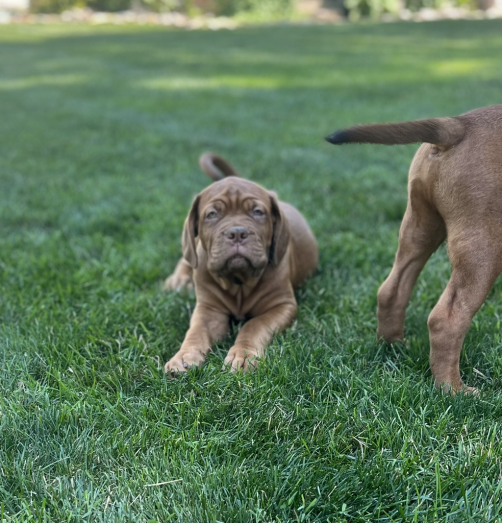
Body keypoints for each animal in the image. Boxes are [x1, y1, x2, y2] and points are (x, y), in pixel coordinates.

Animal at [164, 154, 318, 374]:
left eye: (258, 212)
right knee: (187, 255)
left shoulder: (282, 305)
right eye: (212, 214)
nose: (237, 232)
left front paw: (243, 355)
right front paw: (183, 356)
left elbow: (253, 325)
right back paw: (178, 280)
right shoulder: (209, 309)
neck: (238, 280)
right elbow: (196, 331)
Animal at [326, 105, 502, 392]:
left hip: (418, 229)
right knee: (446, 319)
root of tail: (460, 125)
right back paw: (454, 390)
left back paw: (393, 347)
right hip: (484, 248)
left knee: (391, 290)